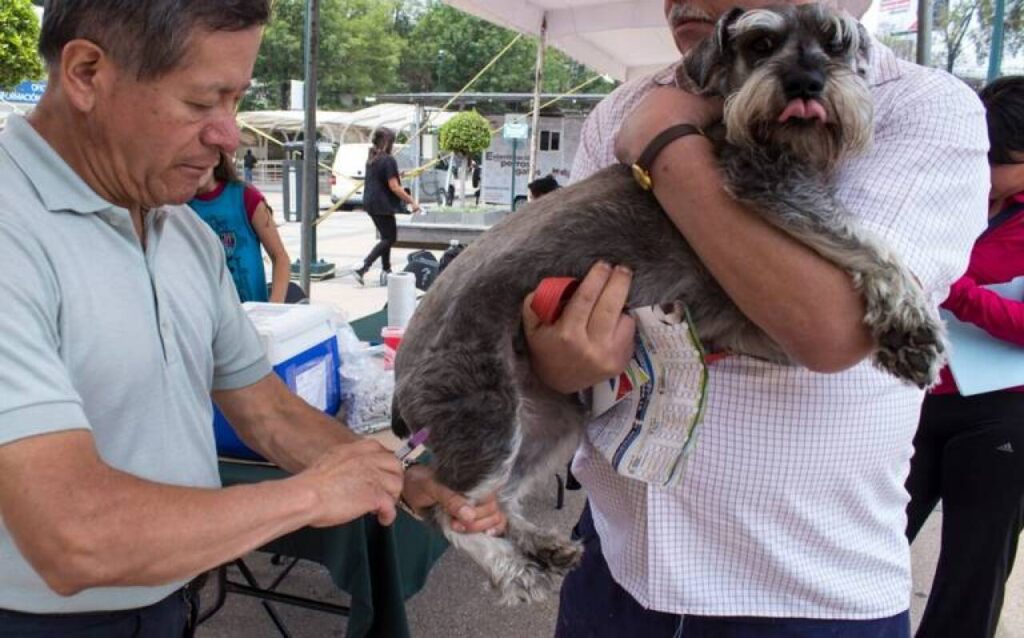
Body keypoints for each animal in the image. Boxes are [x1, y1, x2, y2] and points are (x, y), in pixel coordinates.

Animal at [389, 3, 942, 602]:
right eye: (761, 44)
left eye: (835, 41)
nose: (805, 82)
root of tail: (401, 377)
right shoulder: (768, 185)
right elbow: (867, 240)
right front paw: (912, 326)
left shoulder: (756, 322)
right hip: (488, 414)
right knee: (445, 505)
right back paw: (515, 571)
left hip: (553, 421)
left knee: (499, 498)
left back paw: (542, 544)